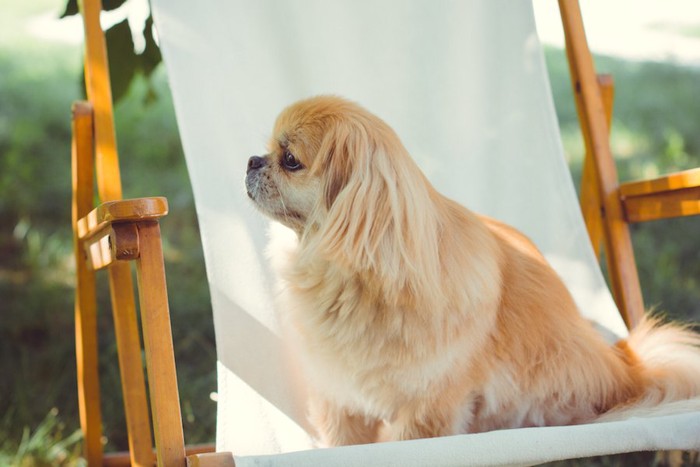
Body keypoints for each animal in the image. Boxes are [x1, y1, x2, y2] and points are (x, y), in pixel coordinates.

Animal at [245, 95, 700, 446]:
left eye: (290, 160)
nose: (251, 160)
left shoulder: (428, 407)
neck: (352, 285)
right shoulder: (338, 396)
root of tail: (628, 367)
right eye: (268, 151)